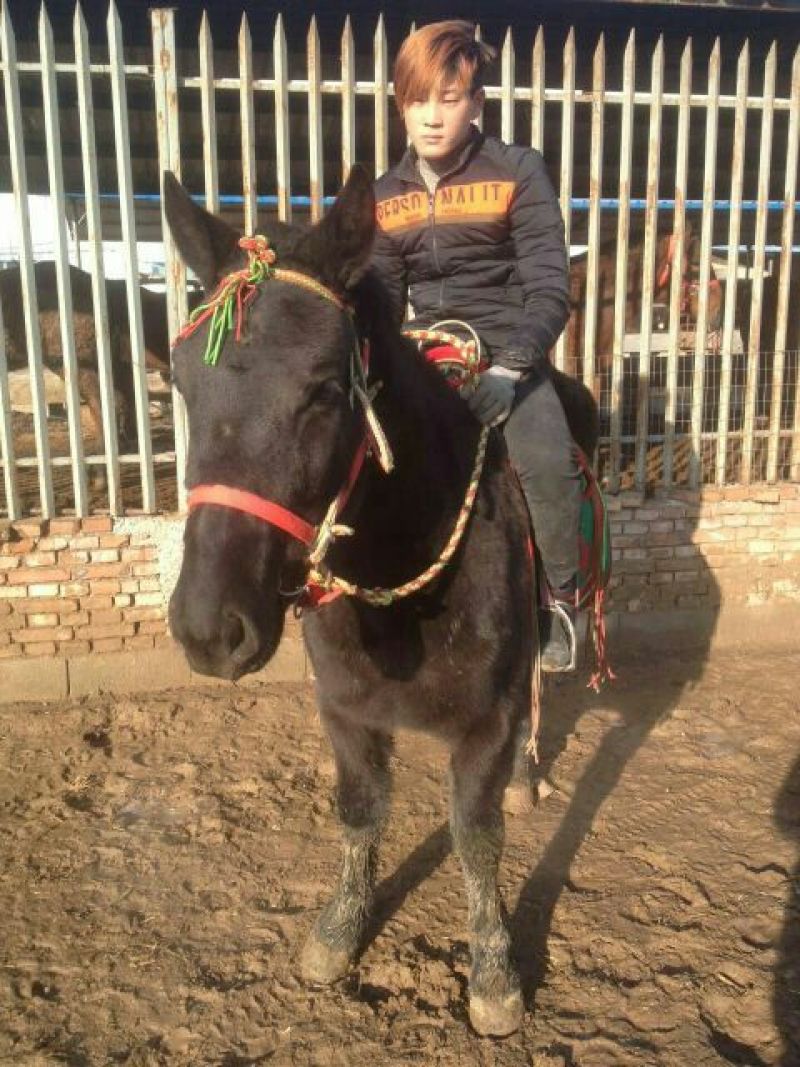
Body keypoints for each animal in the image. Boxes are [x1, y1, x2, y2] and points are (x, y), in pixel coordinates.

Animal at [163, 165, 599, 1037]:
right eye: (180, 379)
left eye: (326, 388)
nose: (208, 628)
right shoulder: (346, 711)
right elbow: (360, 812)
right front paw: (339, 932)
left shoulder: (484, 724)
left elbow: (476, 835)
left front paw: (494, 972)